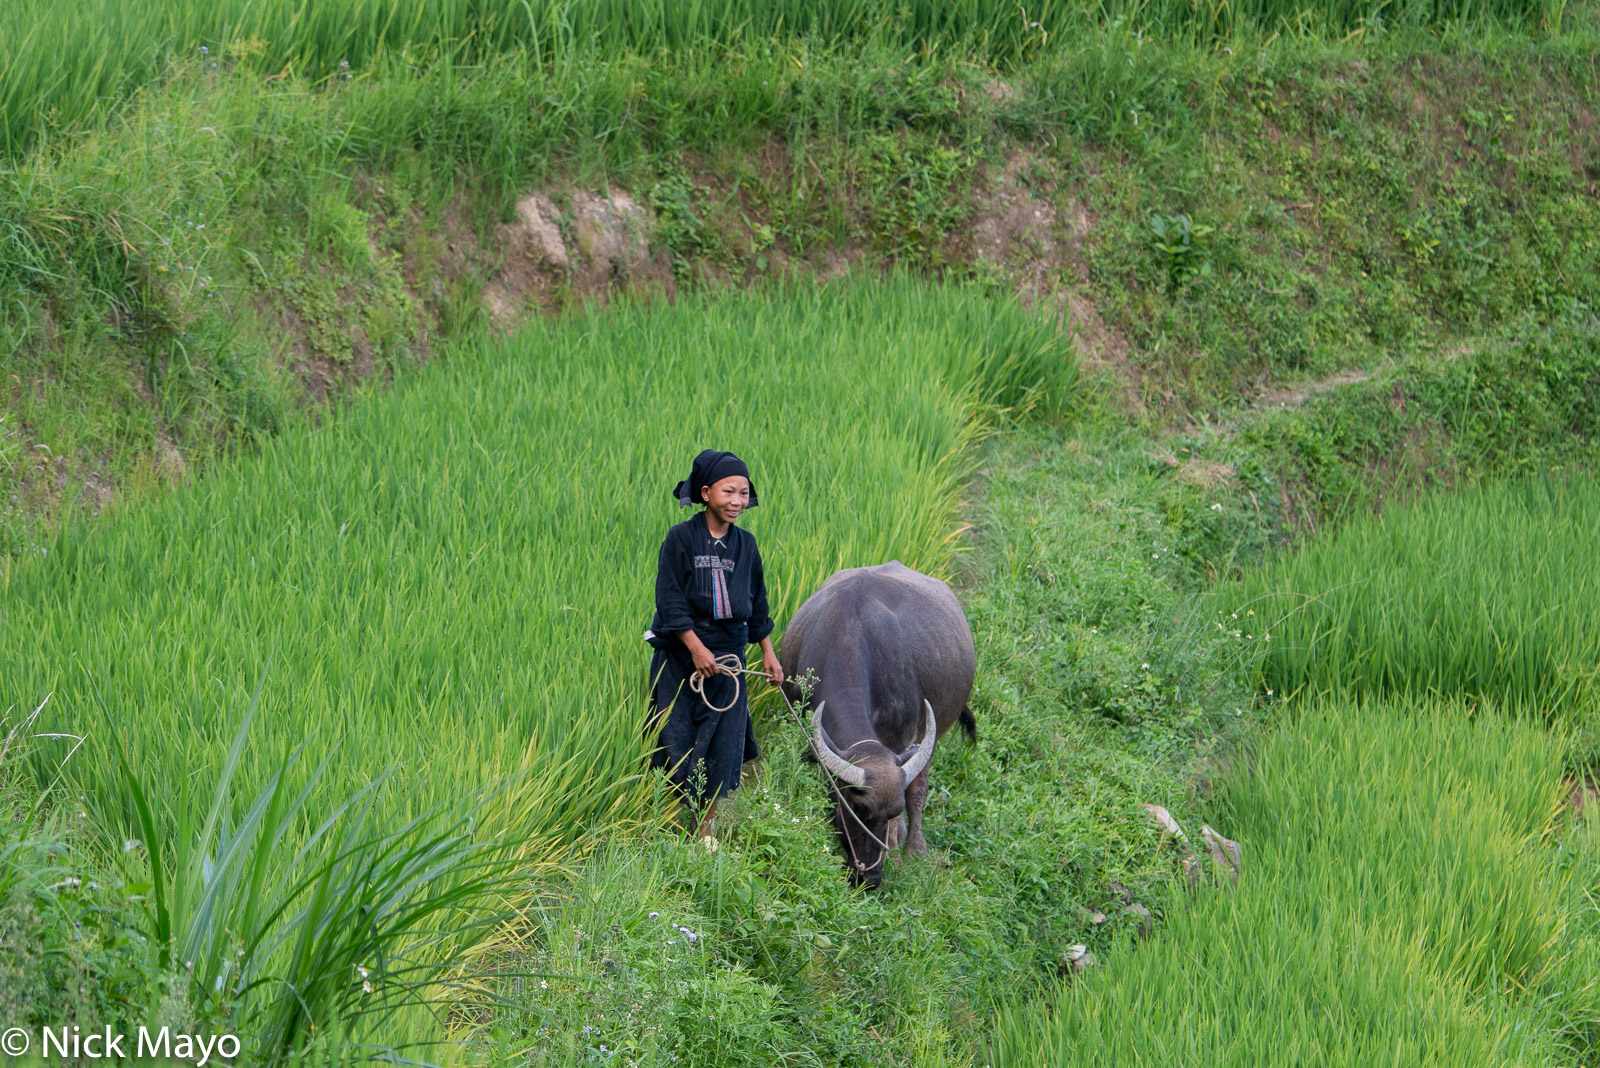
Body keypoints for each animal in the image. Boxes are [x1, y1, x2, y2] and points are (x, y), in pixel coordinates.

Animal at [777, 562, 972, 888]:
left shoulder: (903, 741)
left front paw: (895, 853)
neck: (846, 636)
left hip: (932, 734)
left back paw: (914, 848)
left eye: (892, 811)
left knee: (918, 791)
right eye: (858, 809)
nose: (870, 877)